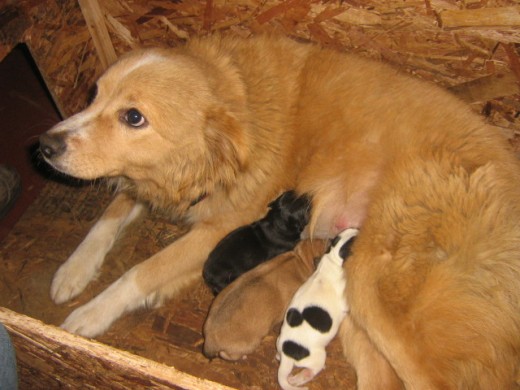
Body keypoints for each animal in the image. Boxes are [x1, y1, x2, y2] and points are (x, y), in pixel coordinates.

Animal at [276, 229, 358, 390]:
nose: (358, 229)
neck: (333, 257)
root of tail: (288, 354)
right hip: (319, 356)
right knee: (310, 371)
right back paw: (300, 378)